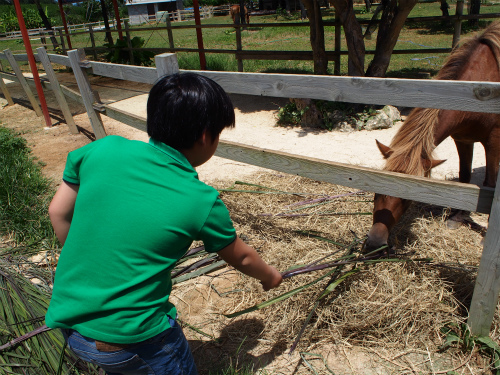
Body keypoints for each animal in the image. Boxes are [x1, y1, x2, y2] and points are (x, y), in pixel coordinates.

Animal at [364, 22, 500, 254]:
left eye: (407, 199)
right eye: (376, 191)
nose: (374, 243)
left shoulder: (493, 141)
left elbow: (489, 184)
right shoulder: (463, 139)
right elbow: (464, 176)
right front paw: (458, 217)